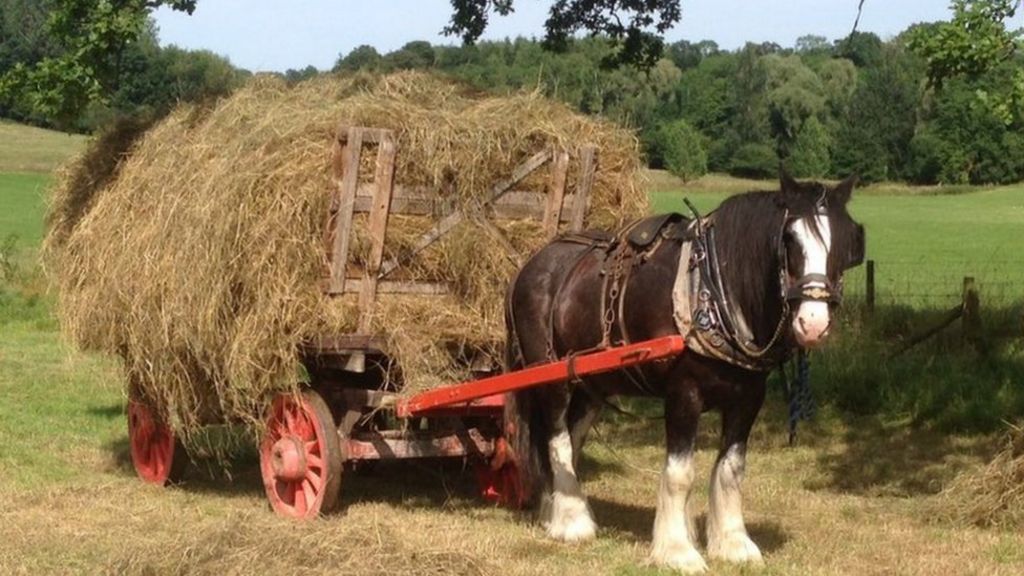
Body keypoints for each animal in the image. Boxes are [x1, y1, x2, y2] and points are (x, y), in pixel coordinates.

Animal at [503, 171, 864, 569]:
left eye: (847, 242)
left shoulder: (749, 398)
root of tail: (530, 264)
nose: (813, 323)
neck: (713, 290)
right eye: (789, 239)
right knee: (557, 439)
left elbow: (731, 468)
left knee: (572, 437)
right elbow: (680, 473)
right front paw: (677, 550)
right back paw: (571, 522)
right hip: (549, 373)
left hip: (590, 383)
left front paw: (733, 543)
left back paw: (558, 509)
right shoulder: (683, 393)